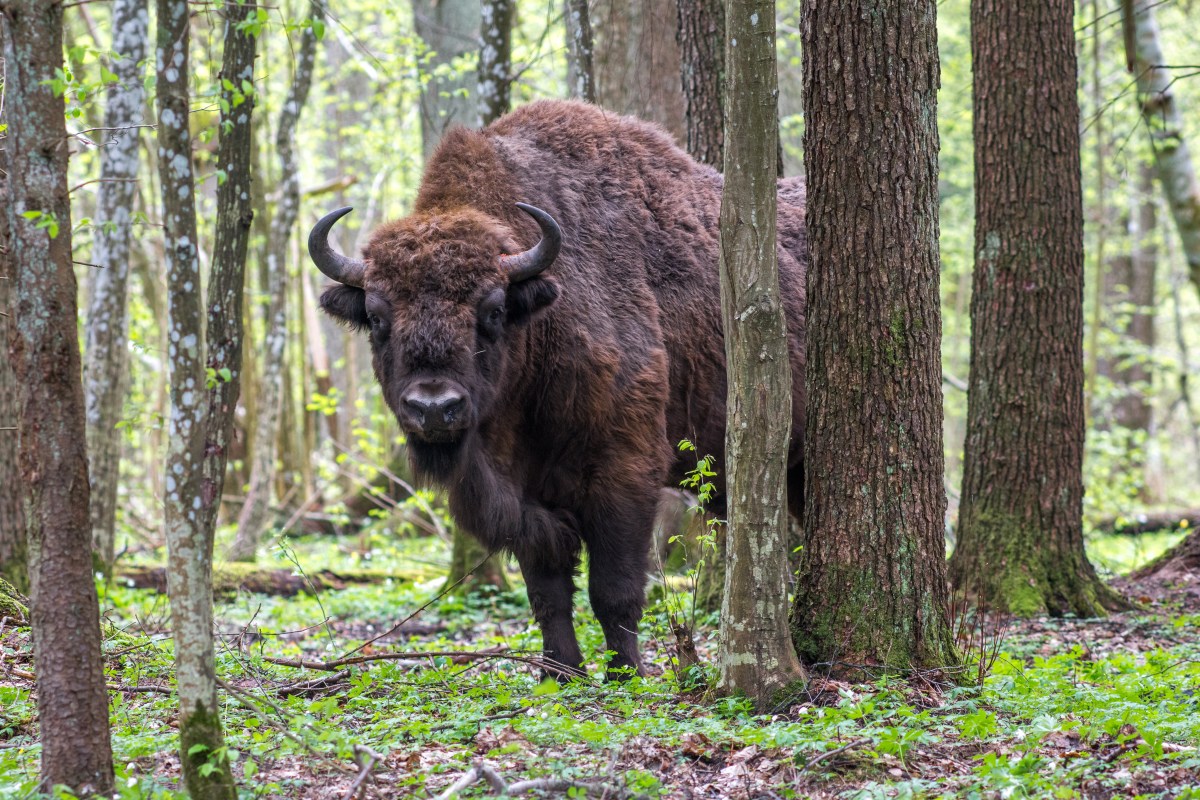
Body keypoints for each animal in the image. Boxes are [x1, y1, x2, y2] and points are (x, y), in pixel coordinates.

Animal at [312, 97, 806, 681]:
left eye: (493, 310)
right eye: (377, 317)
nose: (434, 409)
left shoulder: (624, 474)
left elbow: (614, 589)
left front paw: (625, 674)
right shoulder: (526, 498)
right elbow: (547, 592)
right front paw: (560, 672)